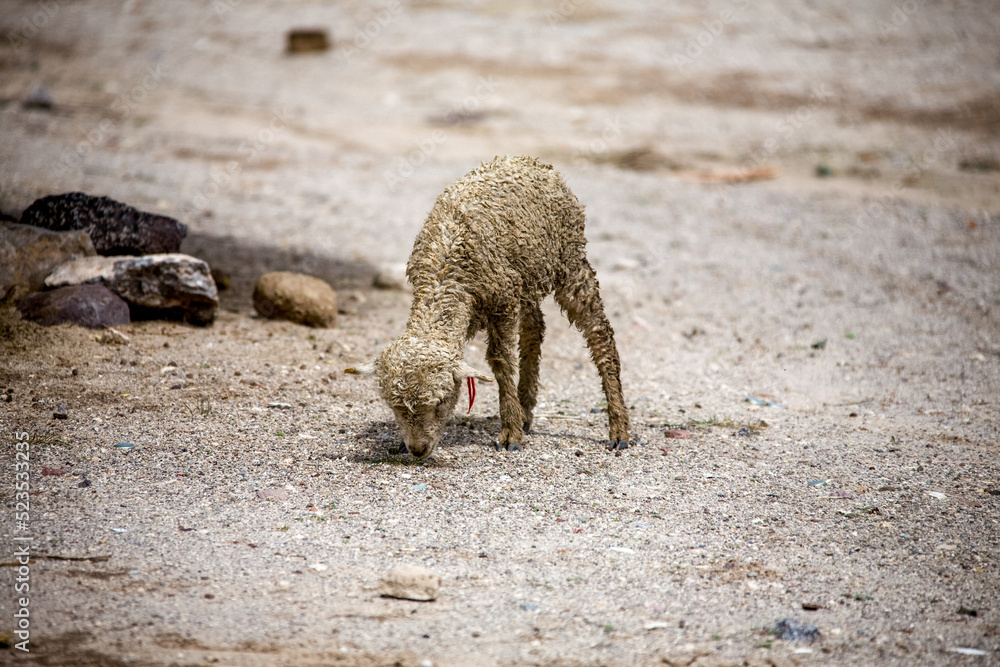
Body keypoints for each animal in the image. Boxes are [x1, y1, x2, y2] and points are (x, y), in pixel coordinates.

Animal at [348, 156, 628, 460]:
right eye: (394, 406)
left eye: (441, 402)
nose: (418, 450)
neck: (445, 275)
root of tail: (533, 162)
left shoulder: (503, 302)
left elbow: (500, 360)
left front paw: (510, 433)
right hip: (527, 278)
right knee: (535, 330)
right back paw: (526, 411)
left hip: (569, 261)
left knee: (599, 332)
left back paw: (619, 429)